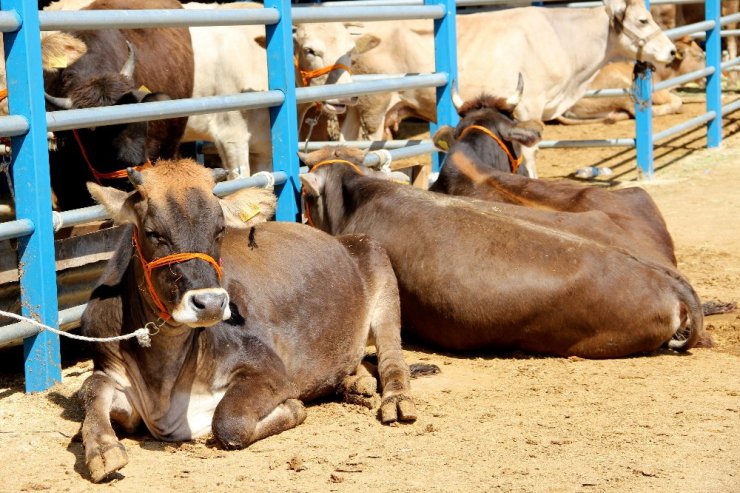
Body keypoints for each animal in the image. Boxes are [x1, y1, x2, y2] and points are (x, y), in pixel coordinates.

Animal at [82, 160, 416, 480]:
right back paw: (355, 383)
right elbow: (92, 388)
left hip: (382, 281)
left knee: (392, 359)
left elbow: (228, 421)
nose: (211, 303)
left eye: (219, 230)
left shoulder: (269, 370)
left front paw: (292, 408)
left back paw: (396, 400)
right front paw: (103, 450)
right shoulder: (110, 367)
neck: (163, 379)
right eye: (153, 233)